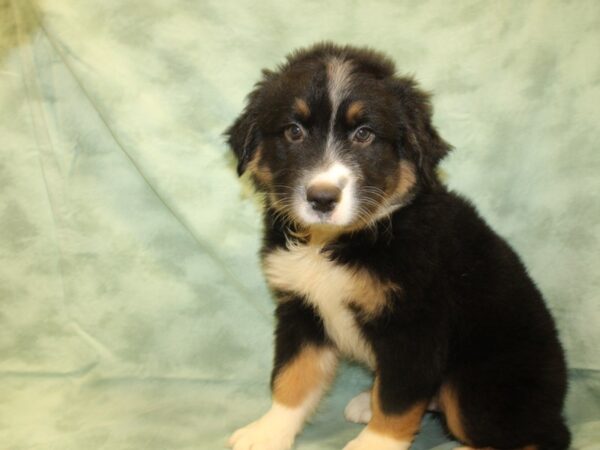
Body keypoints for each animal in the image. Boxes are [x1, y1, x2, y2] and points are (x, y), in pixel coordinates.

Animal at [224, 43, 568, 450]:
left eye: (364, 134)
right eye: (294, 131)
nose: (322, 198)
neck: (338, 241)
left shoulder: (414, 325)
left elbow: (397, 398)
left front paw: (374, 443)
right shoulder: (302, 308)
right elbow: (292, 376)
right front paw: (268, 431)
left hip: (478, 386)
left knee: (533, 435)